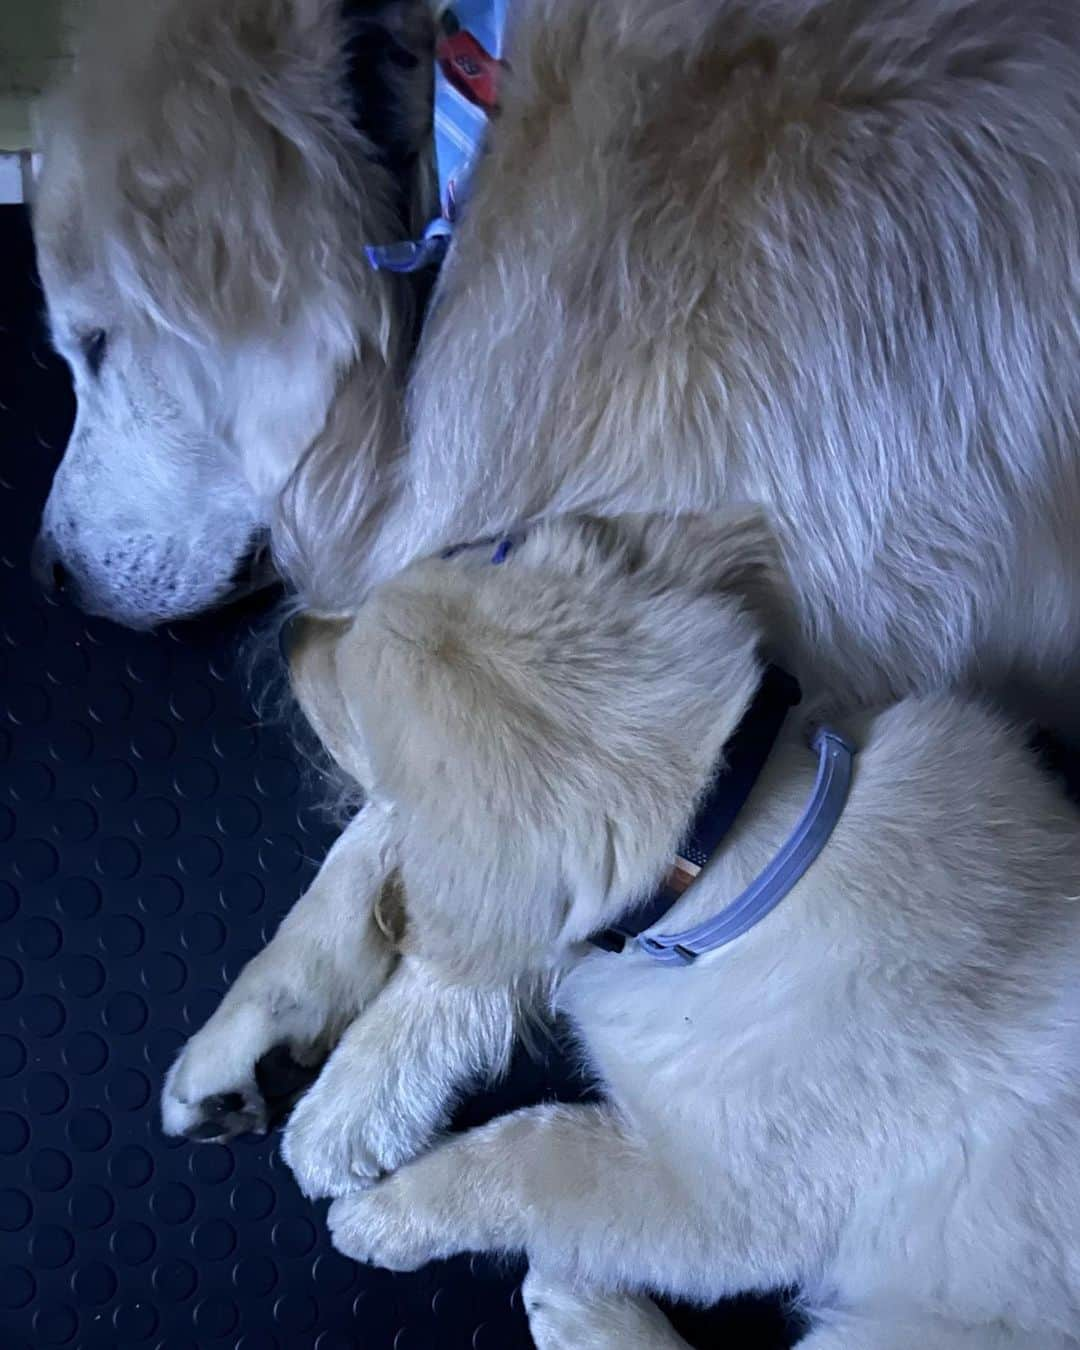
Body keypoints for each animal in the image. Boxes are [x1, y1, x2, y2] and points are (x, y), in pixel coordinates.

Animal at [168, 510, 1080, 1344]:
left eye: (349, 717)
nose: (289, 630)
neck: (743, 847)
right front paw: (349, 1106)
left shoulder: (728, 1203)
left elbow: (535, 1148)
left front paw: (387, 1212)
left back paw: (583, 1307)